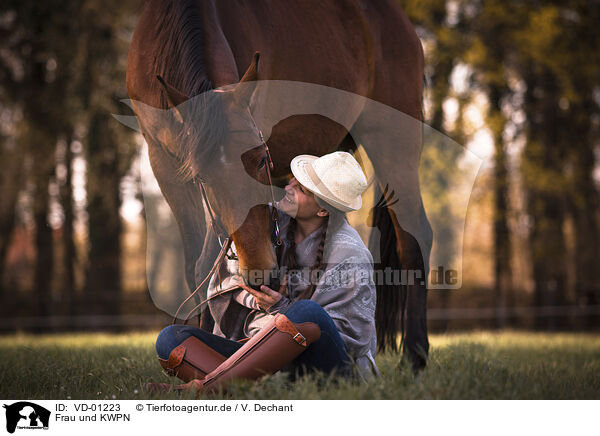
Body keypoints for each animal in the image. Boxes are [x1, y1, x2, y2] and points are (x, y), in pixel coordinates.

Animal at [125, 0, 432, 368]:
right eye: (201, 176)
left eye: (262, 159)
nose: (260, 274)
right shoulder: (165, 165)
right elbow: (198, 265)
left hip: (393, 141)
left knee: (413, 239)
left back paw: (415, 357)